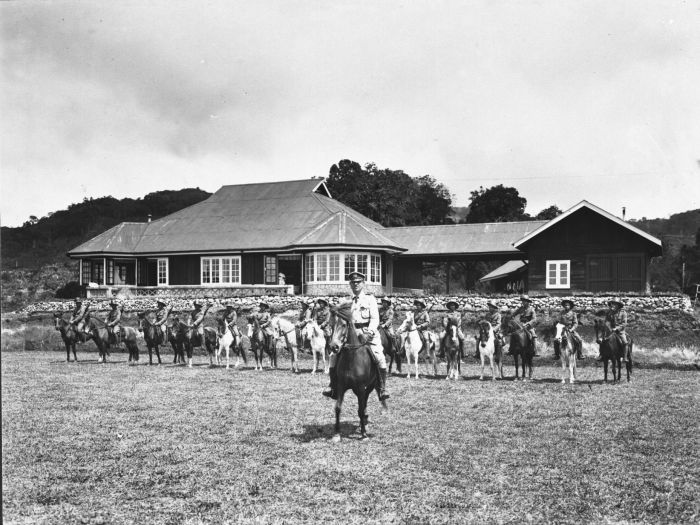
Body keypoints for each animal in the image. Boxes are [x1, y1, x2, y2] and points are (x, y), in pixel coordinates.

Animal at [328, 302, 388, 442]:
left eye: (344, 325)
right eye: (331, 325)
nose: (334, 347)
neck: (352, 358)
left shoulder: (361, 387)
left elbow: (360, 409)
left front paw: (364, 434)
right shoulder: (341, 386)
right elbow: (338, 408)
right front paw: (337, 434)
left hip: (370, 386)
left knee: (365, 403)